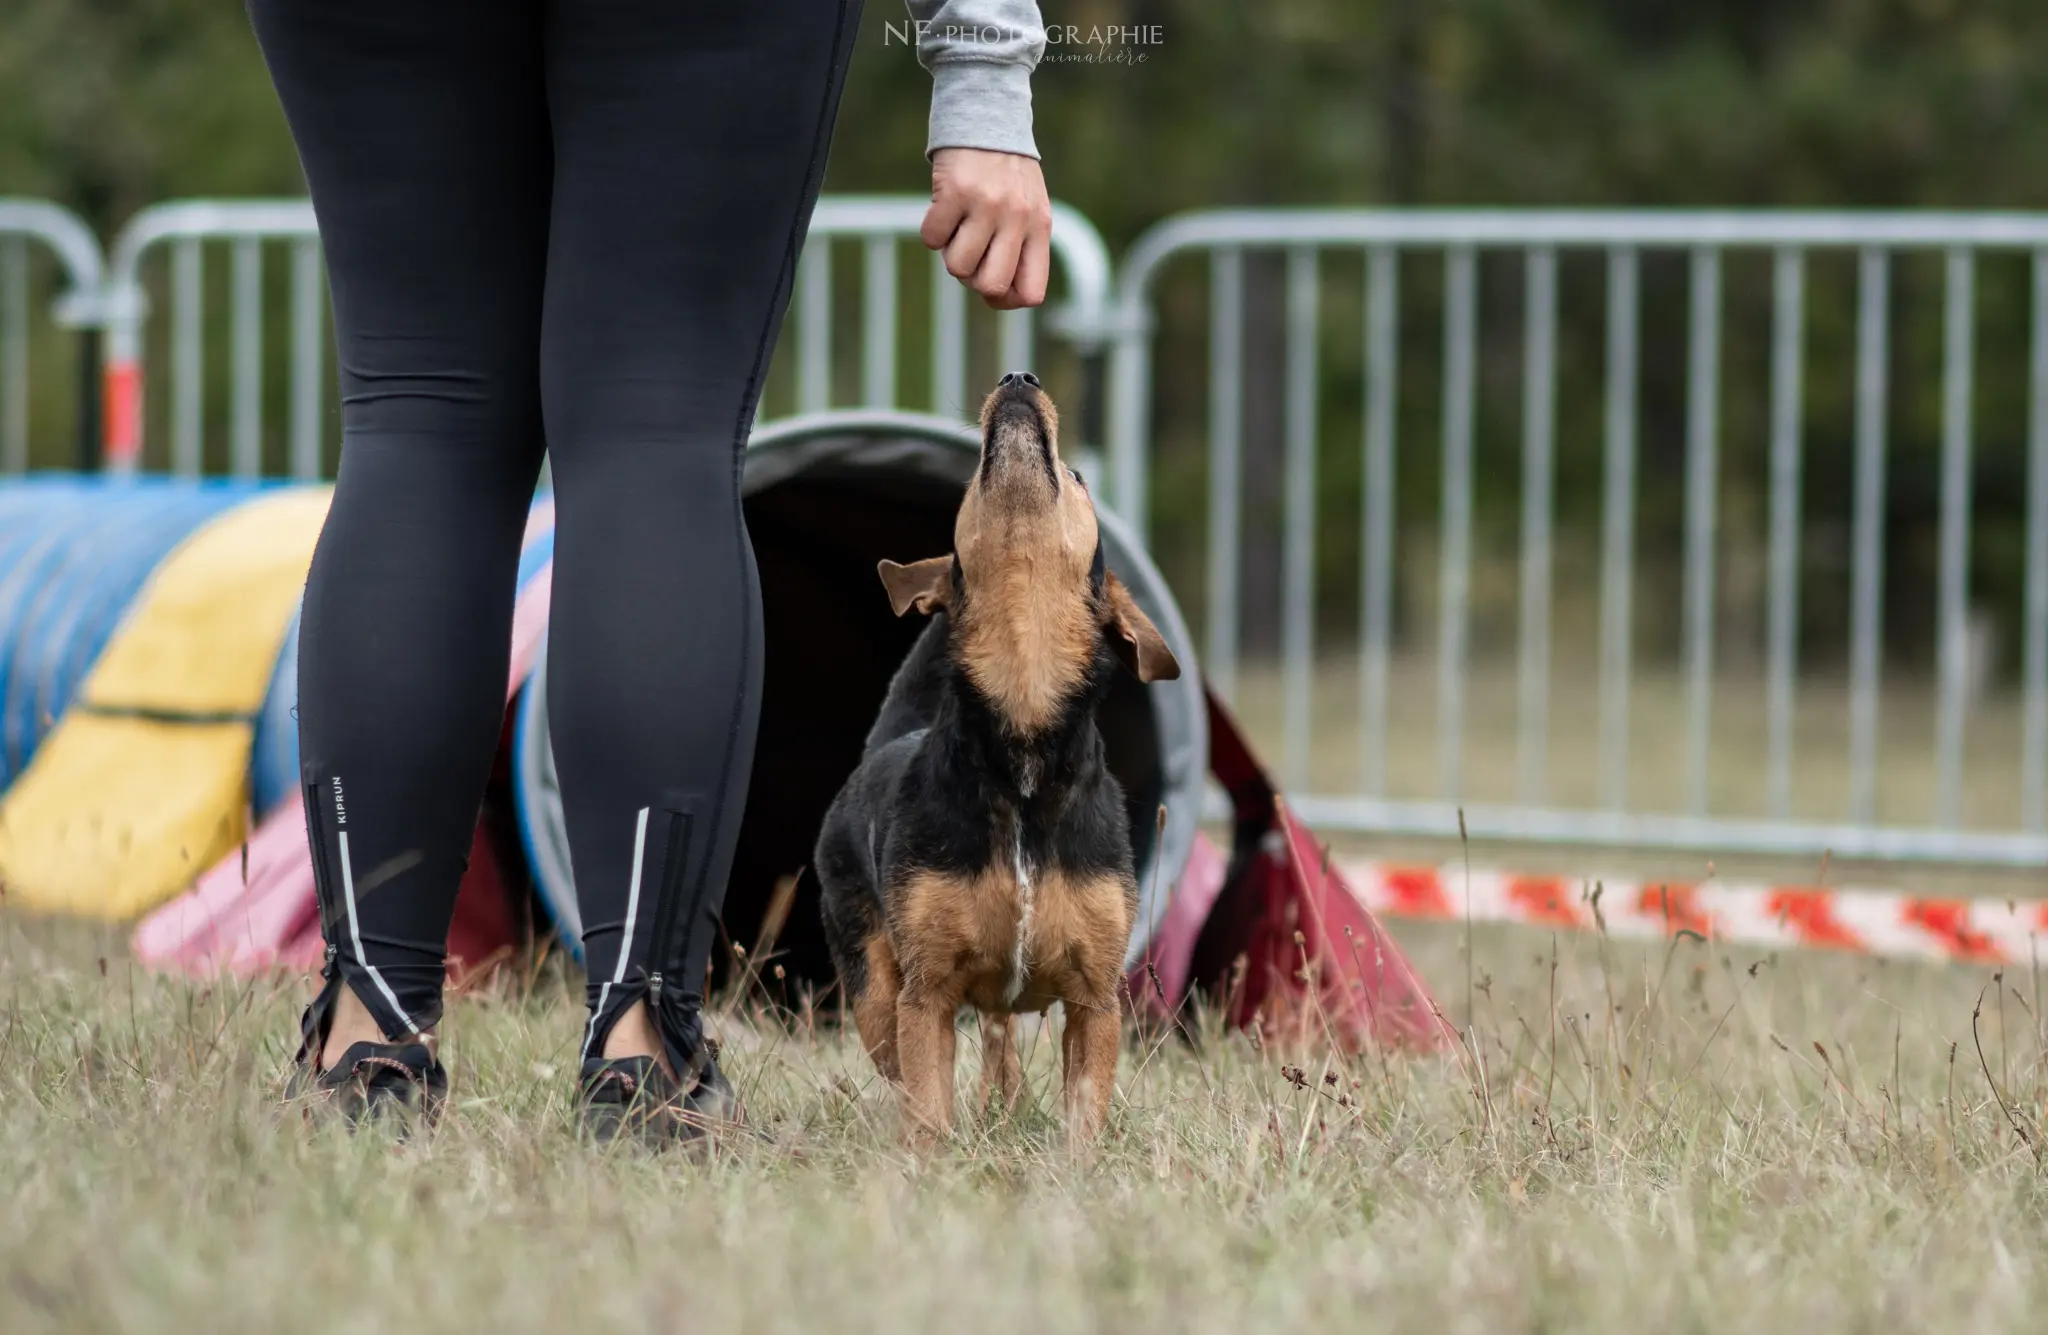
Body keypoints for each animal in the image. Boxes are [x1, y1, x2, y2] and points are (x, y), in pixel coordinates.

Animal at [806, 370, 1179, 1138]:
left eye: (1076, 475)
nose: (1018, 377)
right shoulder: (927, 993)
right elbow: (928, 1105)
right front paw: (932, 1153)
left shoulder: (1096, 1000)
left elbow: (1083, 1111)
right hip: (872, 986)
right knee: (905, 1047)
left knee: (1000, 1044)